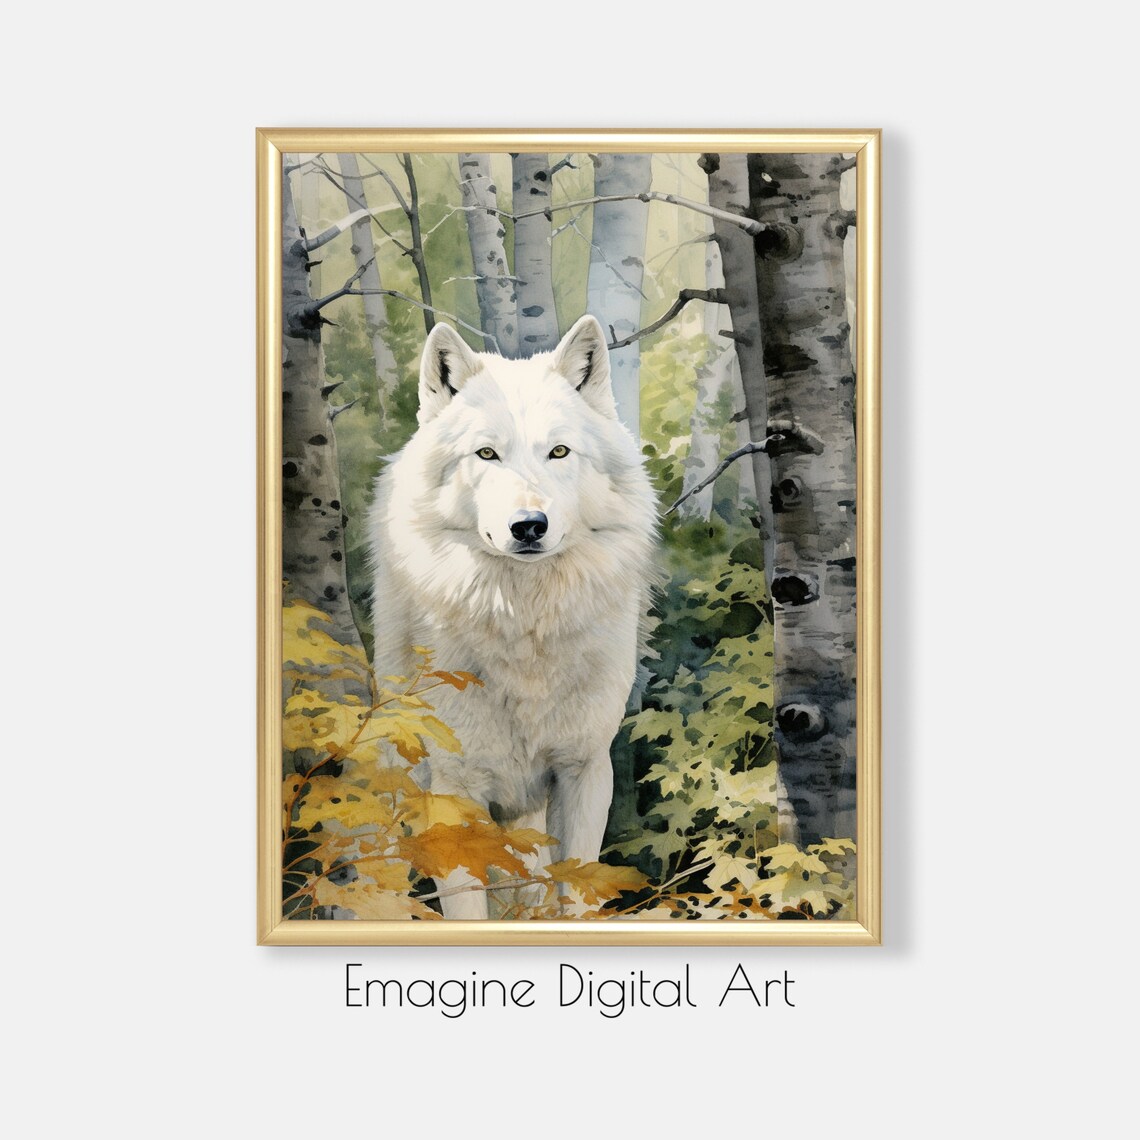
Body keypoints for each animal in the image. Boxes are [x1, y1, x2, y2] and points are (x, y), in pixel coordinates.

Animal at [368, 315, 658, 918]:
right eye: (486, 455)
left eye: (559, 452)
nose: (529, 526)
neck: (525, 633)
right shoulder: (453, 791)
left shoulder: (584, 771)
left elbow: (576, 892)